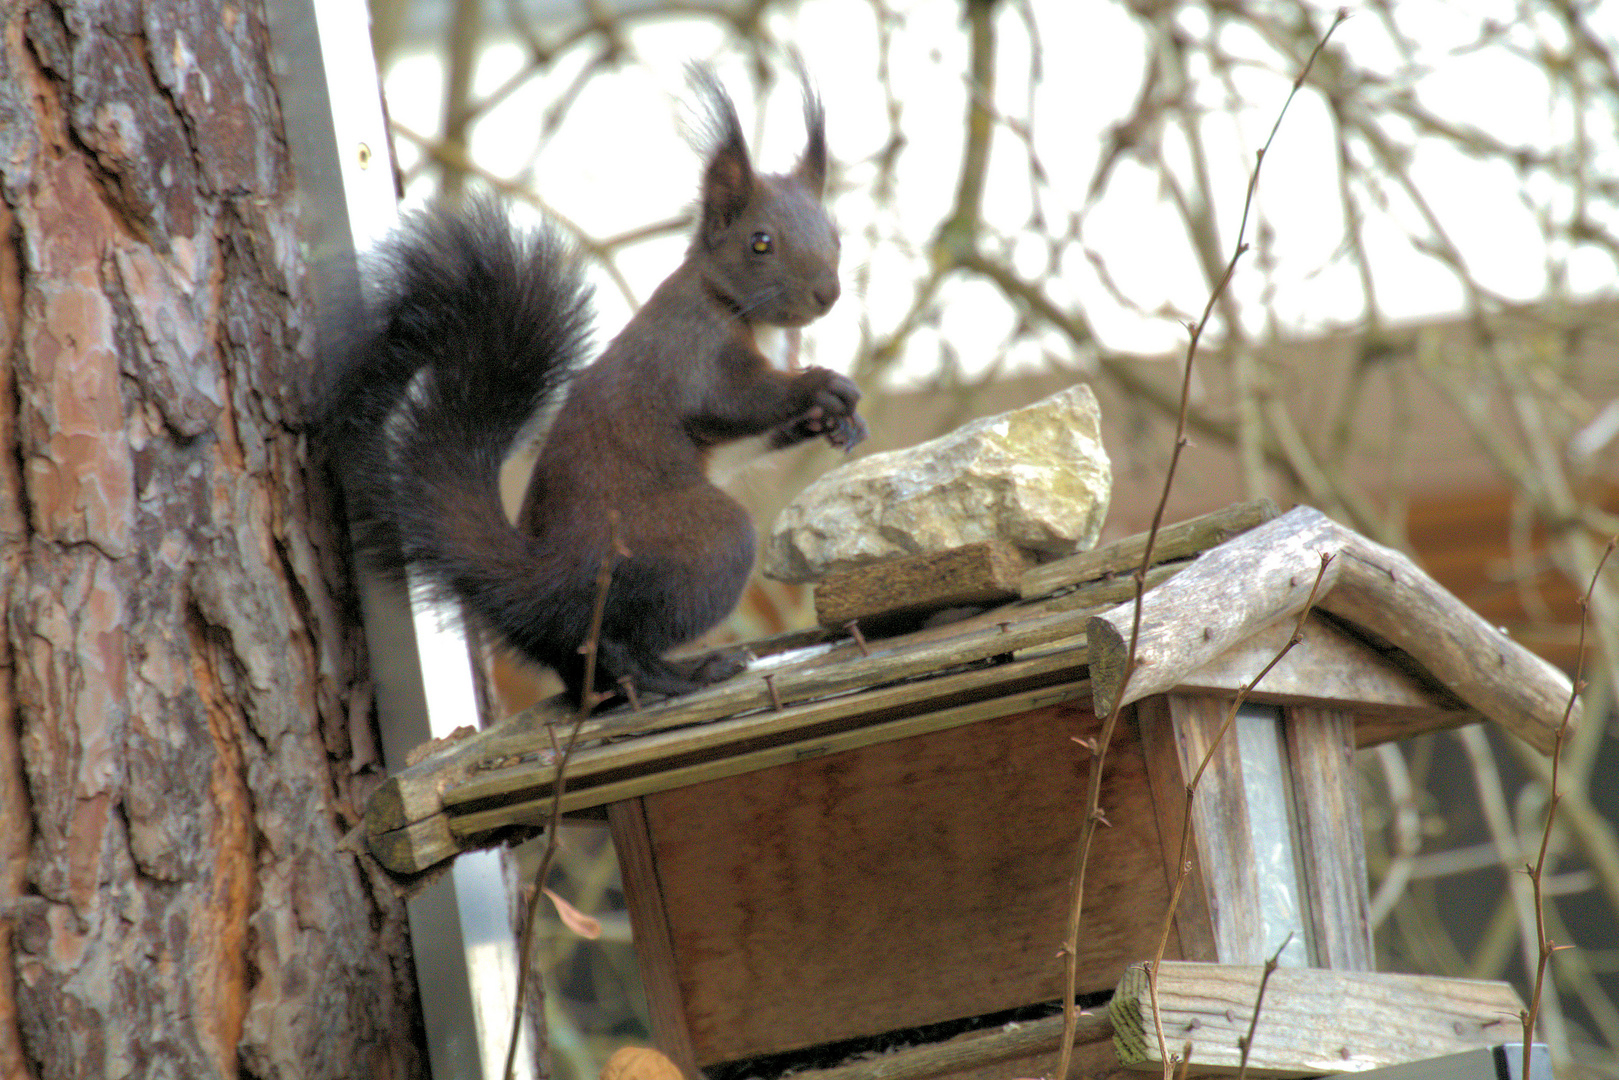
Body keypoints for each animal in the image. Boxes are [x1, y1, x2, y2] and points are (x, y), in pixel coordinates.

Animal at [320, 69, 867, 709]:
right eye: (761, 242)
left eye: (835, 234)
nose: (827, 293)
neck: (740, 311)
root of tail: (548, 584)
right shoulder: (692, 354)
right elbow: (737, 402)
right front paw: (821, 385)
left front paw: (835, 418)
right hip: (700, 546)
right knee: (616, 642)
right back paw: (685, 674)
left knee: (585, 665)